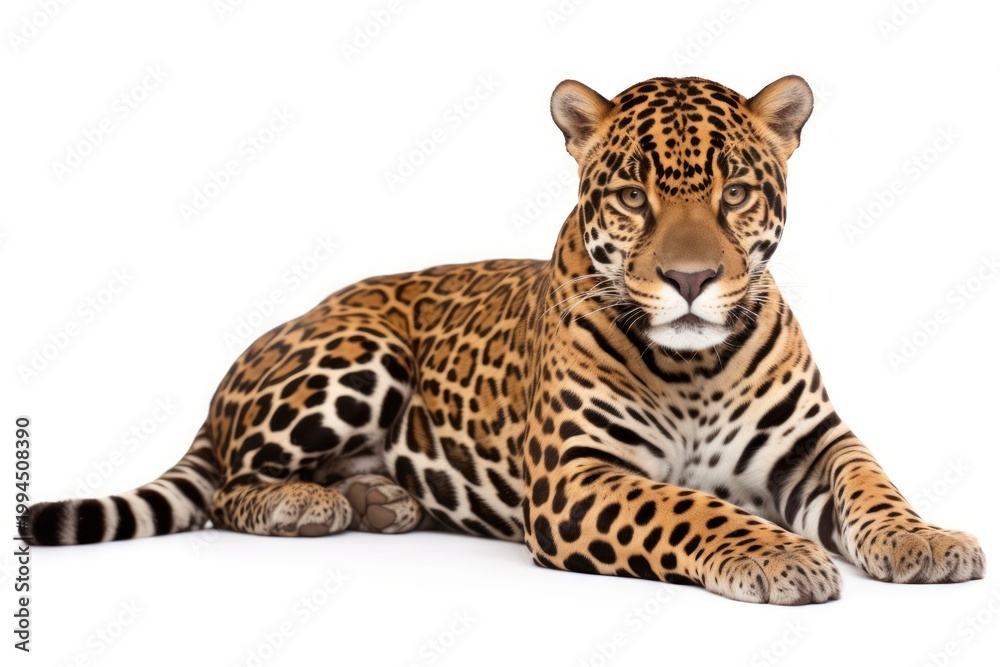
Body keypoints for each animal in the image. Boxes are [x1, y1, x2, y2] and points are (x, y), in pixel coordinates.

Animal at [21, 74, 985, 605]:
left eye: (736, 192)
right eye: (632, 196)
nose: (690, 280)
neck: (697, 364)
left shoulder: (814, 444)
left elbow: (874, 483)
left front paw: (927, 540)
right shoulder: (574, 476)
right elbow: (688, 505)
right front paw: (778, 553)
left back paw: (380, 499)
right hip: (363, 350)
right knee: (228, 486)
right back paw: (312, 503)